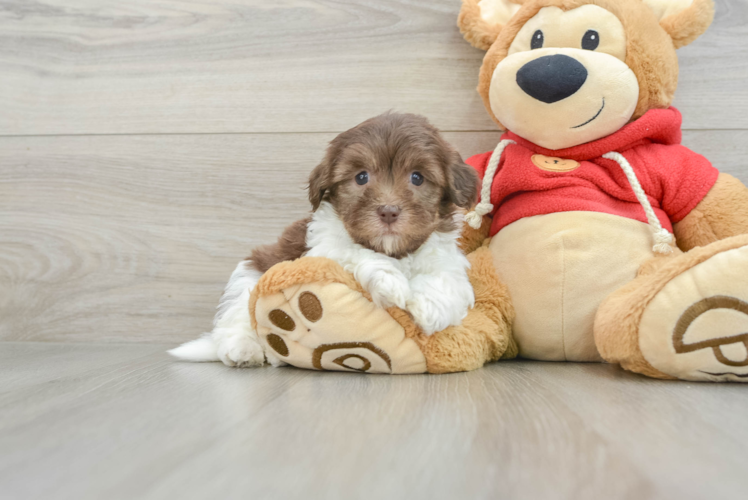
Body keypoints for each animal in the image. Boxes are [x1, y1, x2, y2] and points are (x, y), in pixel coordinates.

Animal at [169, 112, 480, 368]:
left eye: (417, 177)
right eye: (361, 177)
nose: (389, 211)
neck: (395, 252)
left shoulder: (446, 257)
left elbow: (446, 279)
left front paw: (428, 307)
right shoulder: (324, 249)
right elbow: (356, 252)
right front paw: (391, 283)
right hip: (249, 276)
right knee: (236, 317)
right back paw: (245, 350)